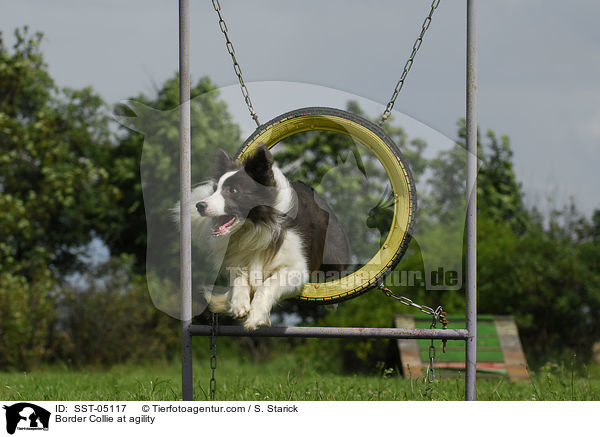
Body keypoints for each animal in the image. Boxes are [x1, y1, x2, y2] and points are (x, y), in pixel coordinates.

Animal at [185, 145, 350, 328]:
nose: (199, 205)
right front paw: (239, 305)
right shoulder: (238, 256)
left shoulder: (295, 266)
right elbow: (238, 278)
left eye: (233, 190)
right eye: (215, 190)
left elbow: (268, 284)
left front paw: (255, 316)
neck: (255, 227)